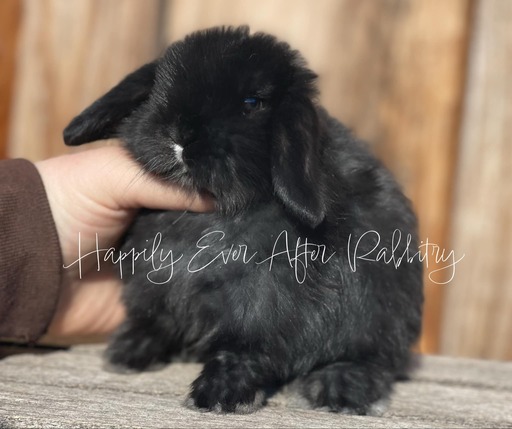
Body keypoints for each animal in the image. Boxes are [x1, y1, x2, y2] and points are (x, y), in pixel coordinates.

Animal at [65, 25, 424, 412]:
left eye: (252, 103)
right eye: (159, 87)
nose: (181, 136)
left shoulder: (267, 300)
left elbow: (244, 348)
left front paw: (220, 394)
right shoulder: (154, 282)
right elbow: (156, 319)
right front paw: (128, 349)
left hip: (380, 310)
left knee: (373, 358)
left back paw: (338, 388)